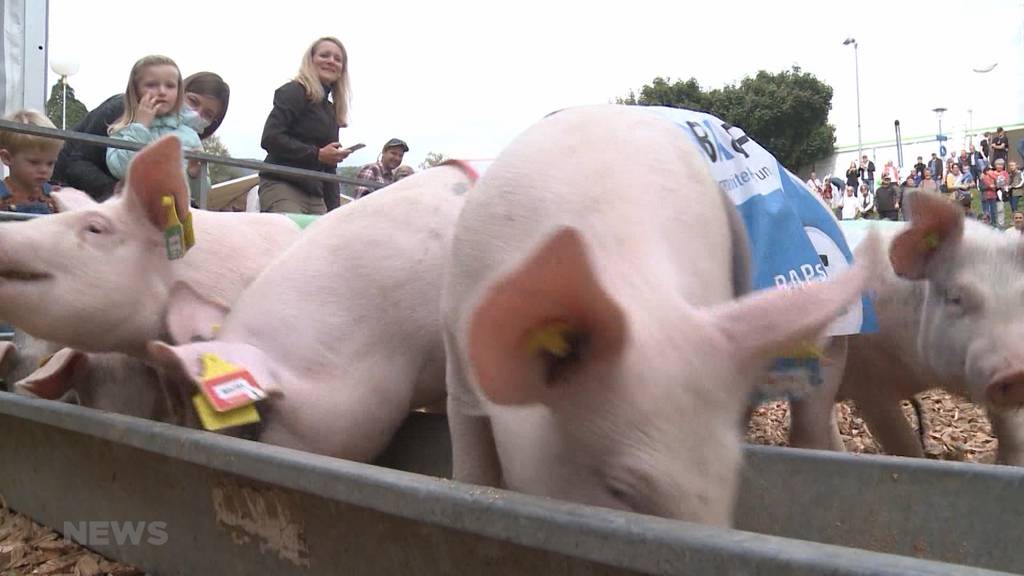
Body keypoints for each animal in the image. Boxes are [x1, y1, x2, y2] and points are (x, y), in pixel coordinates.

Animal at [835, 191, 1024, 461]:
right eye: (955, 298)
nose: (1017, 372)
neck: (921, 375)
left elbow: (1014, 435)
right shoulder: (867, 384)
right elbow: (904, 446)